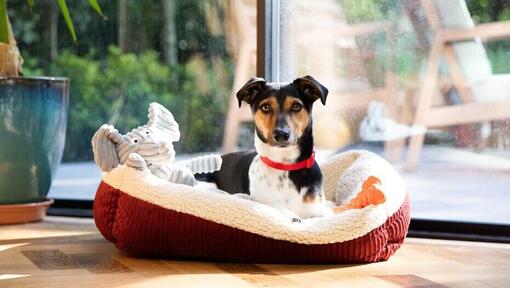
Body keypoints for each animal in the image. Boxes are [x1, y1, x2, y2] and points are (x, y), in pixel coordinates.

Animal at [199, 75, 334, 222]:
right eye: (266, 107)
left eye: (296, 106)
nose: (281, 134)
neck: (285, 166)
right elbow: (279, 209)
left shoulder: (319, 210)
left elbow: (325, 213)